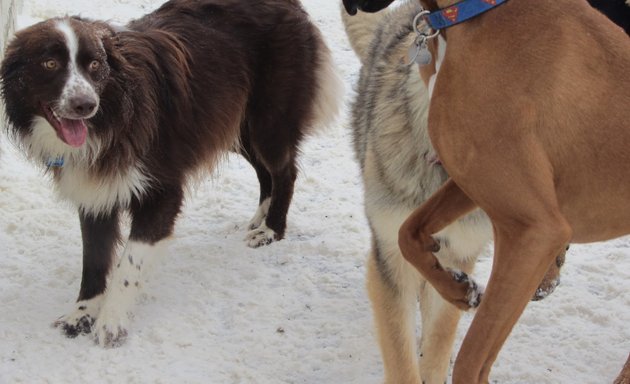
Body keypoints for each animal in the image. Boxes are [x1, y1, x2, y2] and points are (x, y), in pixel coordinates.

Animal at [1, 0, 340, 348]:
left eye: (94, 65)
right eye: (50, 63)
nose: (85, 105)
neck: (115, 115)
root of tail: (290, 5)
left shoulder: (162, 191)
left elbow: (128, 264)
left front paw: (111, 322)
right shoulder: (94, 193)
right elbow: (94, 261)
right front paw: (81, 314)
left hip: (268, 119)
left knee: (284, 171)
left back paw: (271, 229)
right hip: (233, 122)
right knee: (264, 172)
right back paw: (261, 217)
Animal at [346, 0, 630, 380]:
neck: (480, 12)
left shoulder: (534, 230)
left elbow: (469, 363)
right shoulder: (473, 183)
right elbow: (410, 232)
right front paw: (456, 287)